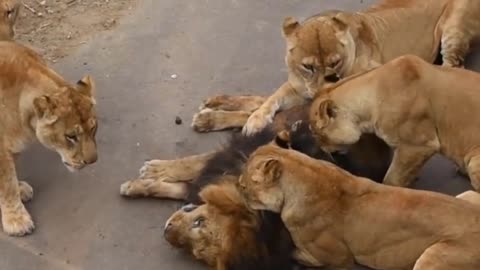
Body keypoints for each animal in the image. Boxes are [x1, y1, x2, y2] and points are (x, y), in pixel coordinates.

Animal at [0, 40, 98, 236]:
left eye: (93, 129)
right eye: (71, 136)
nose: (92, 161)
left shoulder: (11, 145)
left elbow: (11, 176)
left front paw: (20, 189)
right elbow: (6, 183)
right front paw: (16, 220)